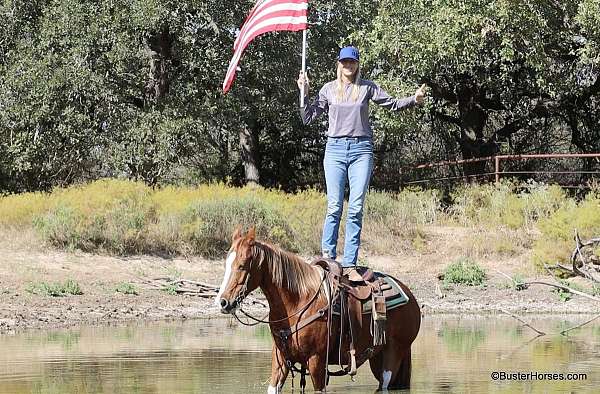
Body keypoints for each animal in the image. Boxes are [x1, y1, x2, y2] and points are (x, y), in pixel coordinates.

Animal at [217, 228, 422, 390]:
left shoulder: (316, 361)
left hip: (394, 352)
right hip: (376, 356)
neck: (298, 302)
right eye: (226, 264)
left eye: (242, 265)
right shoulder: (280, 358)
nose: (223, 302)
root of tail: (409, 295)